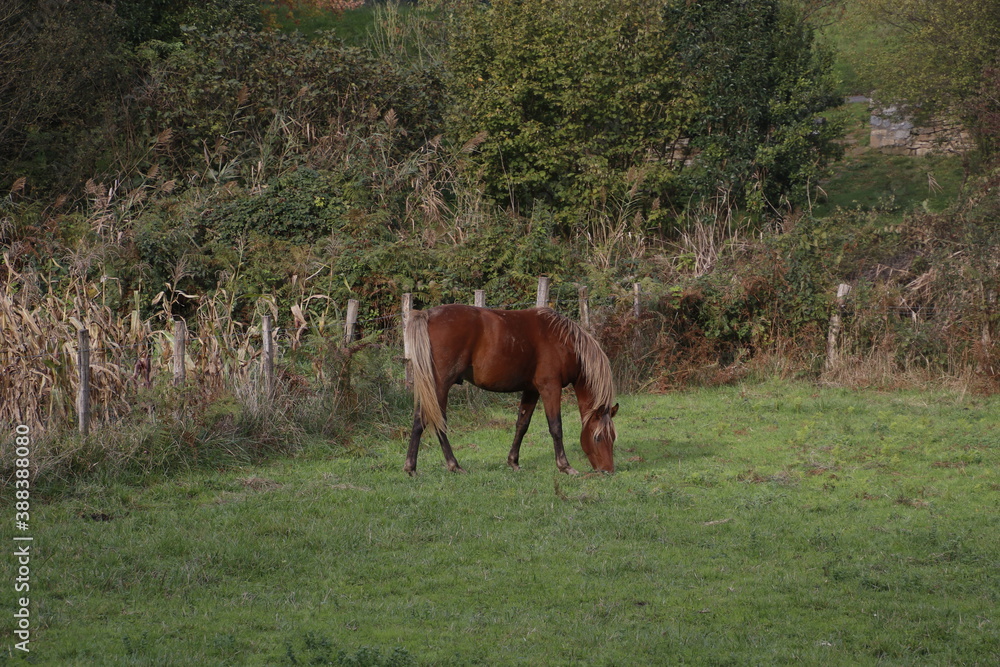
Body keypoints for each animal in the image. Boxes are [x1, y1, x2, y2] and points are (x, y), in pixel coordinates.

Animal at [402, 302, 612, 474]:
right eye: (598, 438)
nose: (608, 470)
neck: (563, 340)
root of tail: (427, 314)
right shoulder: (550, 388)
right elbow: (556, 426)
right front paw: (565, 466)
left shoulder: (532, 390)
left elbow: (522, 425)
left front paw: (513, 462)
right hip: (440, 386)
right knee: (430, 420)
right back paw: (441, 465)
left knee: (426, 419)